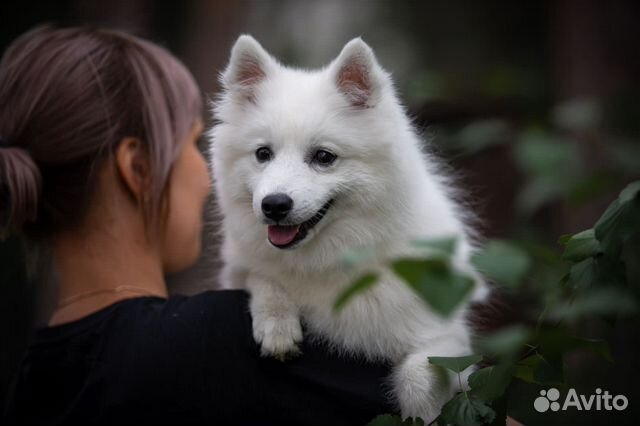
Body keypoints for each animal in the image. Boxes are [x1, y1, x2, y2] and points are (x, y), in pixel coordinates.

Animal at [209, 35, 484, 422]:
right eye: (263, 154)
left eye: (324, 157)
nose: (274, 205)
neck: (332, 258)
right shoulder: (242, 269)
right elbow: (262, 277)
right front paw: (277, 324)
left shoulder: (446, 337)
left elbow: (421, 376)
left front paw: (421, 412)